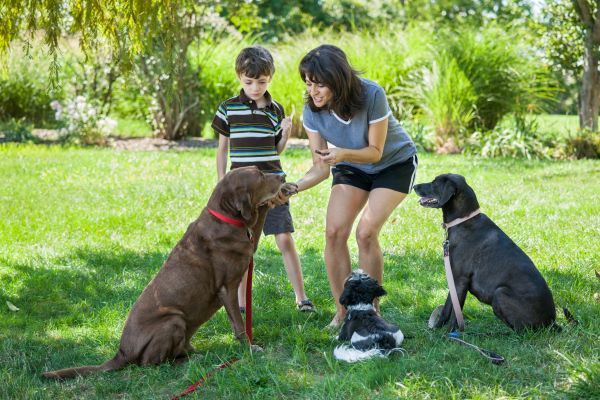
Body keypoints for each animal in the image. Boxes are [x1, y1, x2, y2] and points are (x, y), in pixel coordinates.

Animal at [42, 166, 286, 378]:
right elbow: (239, 324)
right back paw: (192, 360)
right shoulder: (227, 287)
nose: (282, 176)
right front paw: (250, 348)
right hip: (173, 320)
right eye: (260, 175)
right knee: (153, 363)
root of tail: (121, 352)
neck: (224, 216)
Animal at [414, 173, 556, 332]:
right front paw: (437, 330)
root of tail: (552, 323)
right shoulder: (454, 279)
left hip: (500, 293)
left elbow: (455, 315)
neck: (464, 221)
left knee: (521, 331)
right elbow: (447, 308)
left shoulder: (460, 280)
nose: (414, 186)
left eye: (434, 183)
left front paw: (451, 334)